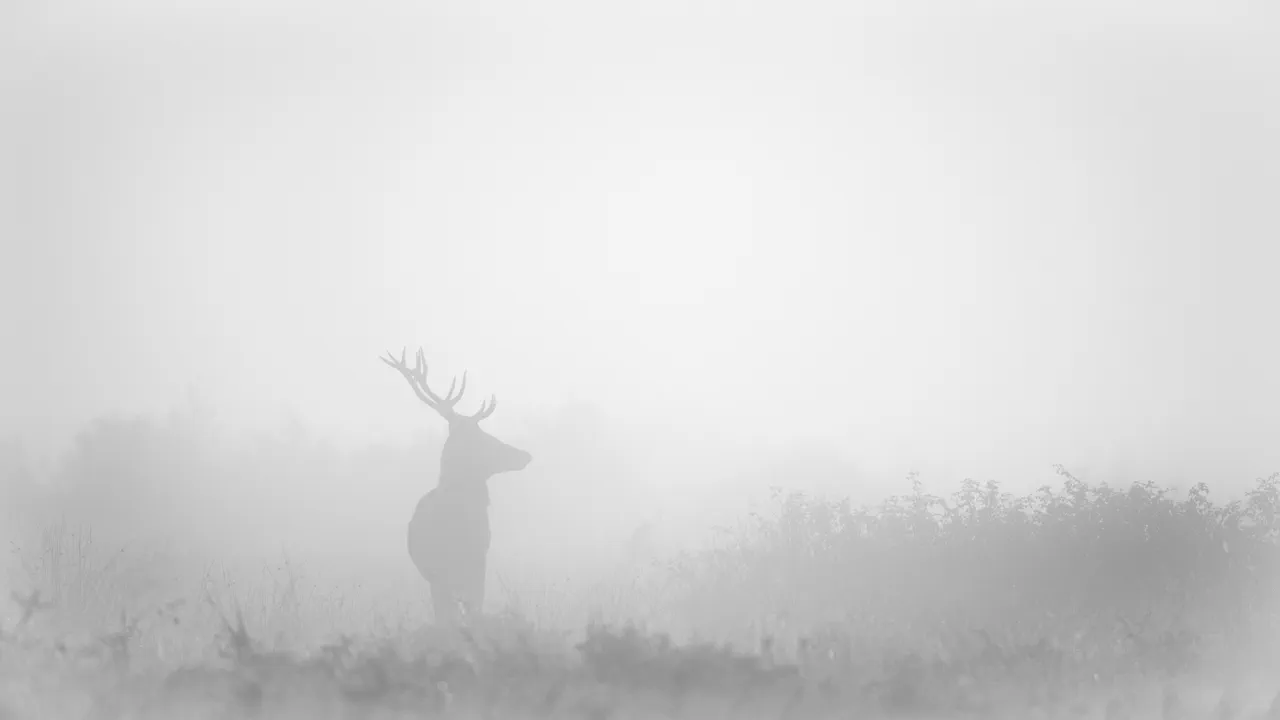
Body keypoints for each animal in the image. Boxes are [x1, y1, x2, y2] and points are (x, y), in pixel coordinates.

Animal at [381, 346, 532, 627]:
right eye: (482, 437)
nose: (525, 455)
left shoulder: (478, 561)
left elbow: (475, 611)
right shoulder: (440, 571)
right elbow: (449, 618)